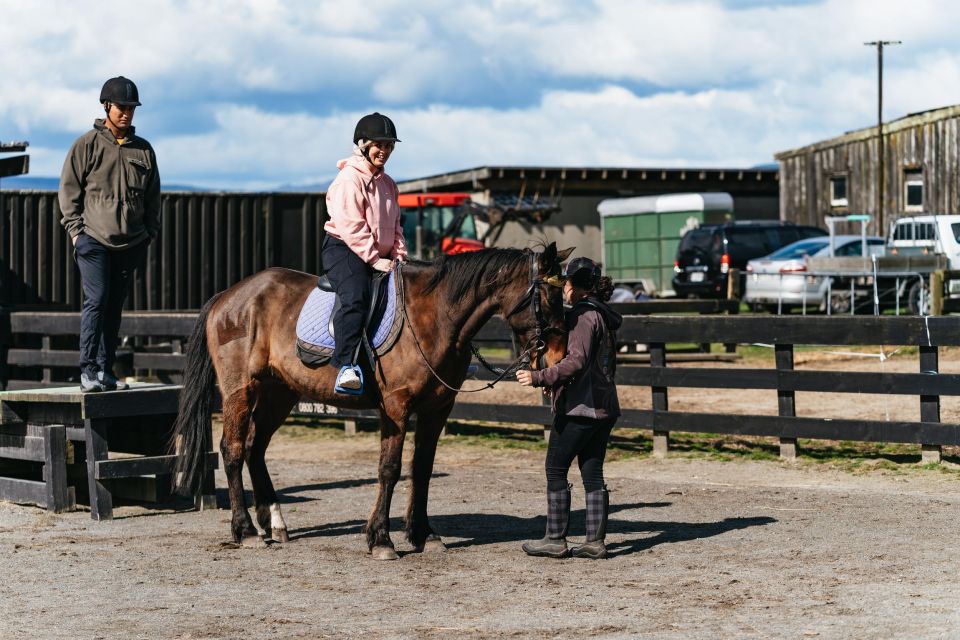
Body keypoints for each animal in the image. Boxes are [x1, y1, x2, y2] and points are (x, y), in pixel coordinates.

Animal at [171, 245, 568, 560]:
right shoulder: (396, 407)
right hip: (240, 390)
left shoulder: (437, 409)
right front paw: (381, 540)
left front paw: (423, 534)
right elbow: (389, 469)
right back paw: (246, 531)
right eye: (548, 299)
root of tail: (227, 296)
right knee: (234, 449)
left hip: (278, 393)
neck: (436, 315)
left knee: (256, 448)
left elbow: (422, 469)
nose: (558, 357)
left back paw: (275, 523)